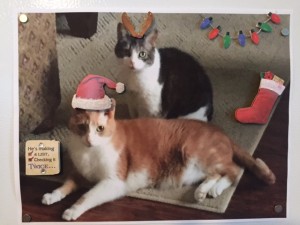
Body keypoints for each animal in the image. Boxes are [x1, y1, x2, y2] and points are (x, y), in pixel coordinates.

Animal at [41, 99, 276, 221]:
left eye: (99, 128)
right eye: (82, 127)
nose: (89, 139)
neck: (89, 153)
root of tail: (221, 131)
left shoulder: (112, 182)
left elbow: (87, 196)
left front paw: (72, 210)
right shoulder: (79, 174)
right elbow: (66, 185)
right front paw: (53, 195)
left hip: (195, 152)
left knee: (233, 170)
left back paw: (215, 190)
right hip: (196, 167)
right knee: (216, 174)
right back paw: (203, 191)